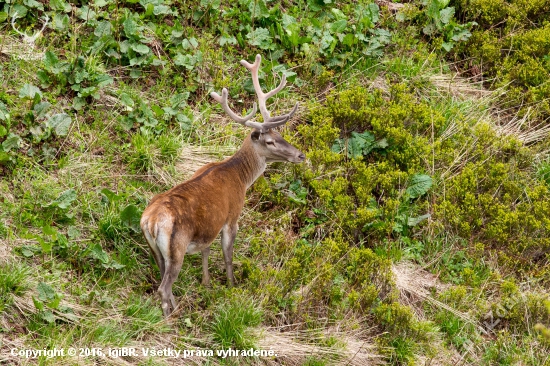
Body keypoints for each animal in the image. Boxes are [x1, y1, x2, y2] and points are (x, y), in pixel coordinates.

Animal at [140, 54, 306, 318]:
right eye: (270, 141)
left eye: (281, 134)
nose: (300, 155)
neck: (241, 177)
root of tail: (150, 221)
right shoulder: (232, 215)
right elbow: (228, 255)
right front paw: (231, 286)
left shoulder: (210, 226)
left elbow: (206, 250)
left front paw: (207, 283)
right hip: (177, 247)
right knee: (163, 288)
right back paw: (170, 319)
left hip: (155, 250)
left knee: (162, 280)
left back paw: (176, 309)